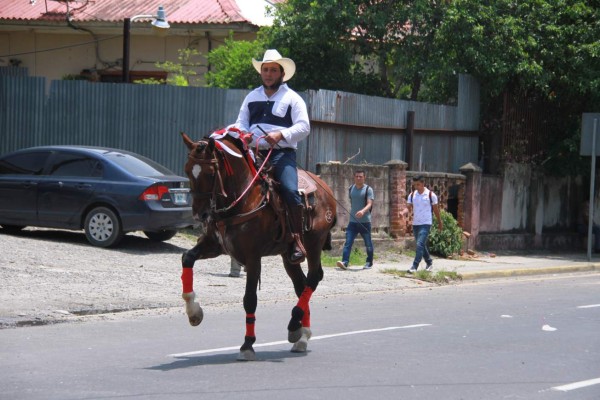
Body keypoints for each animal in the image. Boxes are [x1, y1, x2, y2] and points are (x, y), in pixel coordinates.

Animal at [180, 130, 336, 360]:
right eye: (188, 170)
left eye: (210, 173)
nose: (200, 215)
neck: (242, 199)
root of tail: (325, 189)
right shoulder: (213, 245)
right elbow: (187, 258)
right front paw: (194, 312)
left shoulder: (253, 257)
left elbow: (249, 299)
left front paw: (247, 344)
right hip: (289, 255)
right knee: (301, 286)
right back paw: (302, 334)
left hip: (314, 244)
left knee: (313, 278)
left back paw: (294, 325)